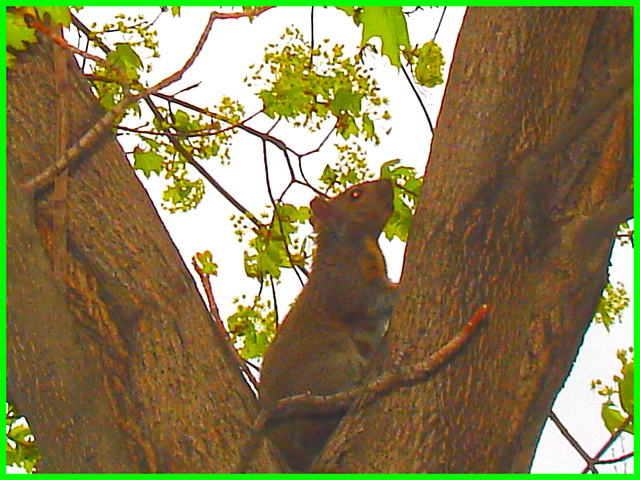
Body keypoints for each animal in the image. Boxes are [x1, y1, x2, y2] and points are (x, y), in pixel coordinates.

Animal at [258, 178, 398, 470]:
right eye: (355, 195)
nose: (389, 182)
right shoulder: (343, 284)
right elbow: (365, 301)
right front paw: (399, 290)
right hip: (331, 361)